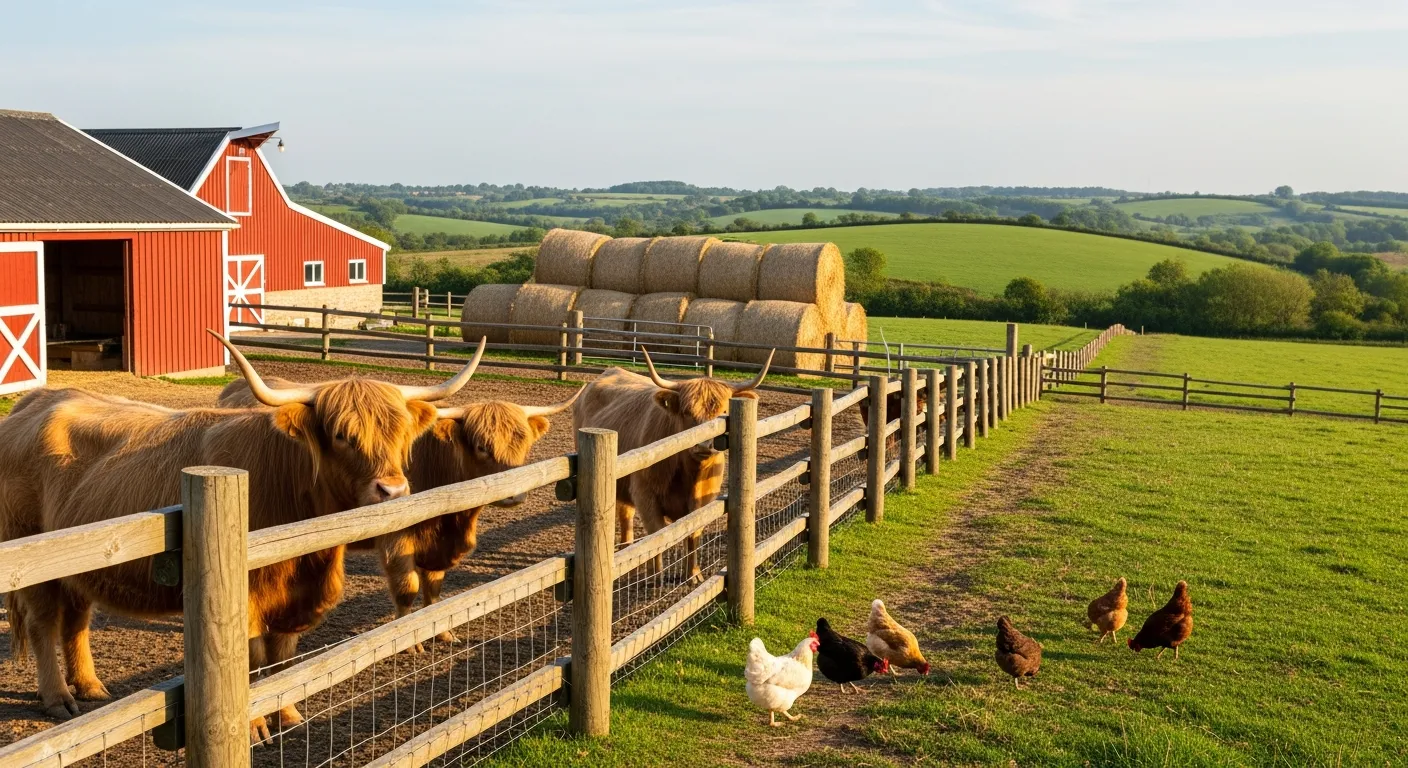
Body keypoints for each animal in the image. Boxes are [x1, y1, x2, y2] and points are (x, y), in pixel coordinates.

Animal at [0, 333, 485, 742]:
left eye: (401, 432)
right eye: (343, 435)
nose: (393, 491)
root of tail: (37, 401)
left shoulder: (293, 596)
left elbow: (282, 656)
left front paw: (286, 714)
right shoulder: (243, 599)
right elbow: (251, 660)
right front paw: (254, 728)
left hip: (81, 566)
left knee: (76, 620)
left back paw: (91, 686)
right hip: (34, 561)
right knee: (45, 623)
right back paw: (59, 698)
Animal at [220, 377, 582, 651]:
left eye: (523, 440)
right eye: (481, 445)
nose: (514, 492)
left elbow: (434, 585)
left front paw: (441, 631)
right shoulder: (396, 538)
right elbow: (408, 586)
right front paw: (410, 642)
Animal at [572, 348, 773, 581]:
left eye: (724, 412)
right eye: (687, 412)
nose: (704, 445)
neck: (689, 476)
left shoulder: (703, 501)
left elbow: (693, 533)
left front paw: (693, 574)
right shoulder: (645, 494)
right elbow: (657, 534)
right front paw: (656, 575)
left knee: (625, 512)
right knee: (625, 514)